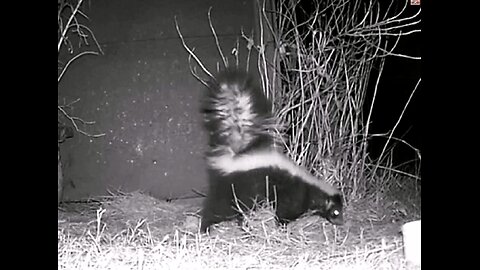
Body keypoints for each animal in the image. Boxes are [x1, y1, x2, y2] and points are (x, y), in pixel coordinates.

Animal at [200, 69, 344, 232]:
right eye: (336, 212)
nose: (342, 222)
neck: (311, 188)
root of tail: (235, 154)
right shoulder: (293, 196)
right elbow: (285, 211)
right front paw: (281, 226)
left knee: (239, 210)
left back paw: (243, 225)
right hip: (234, 188)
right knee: (219, 207)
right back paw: (205, 228)